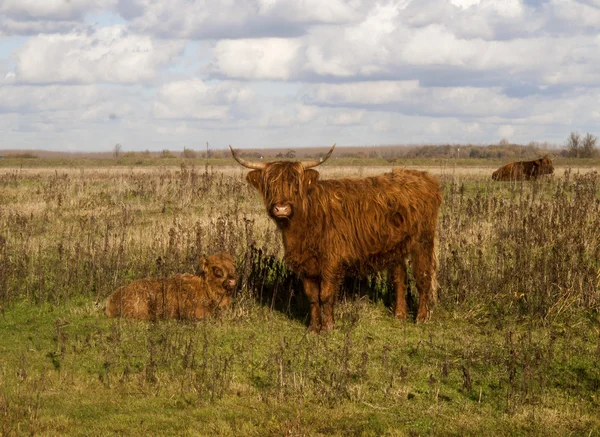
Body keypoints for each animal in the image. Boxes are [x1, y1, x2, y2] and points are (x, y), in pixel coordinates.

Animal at [232, 143, 442, 330]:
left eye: (295, 185)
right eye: (270, 185)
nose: (281, 208)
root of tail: (423, 176)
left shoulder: (331, 261)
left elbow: (325, 294)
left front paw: (328, 326)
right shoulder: (306, 263)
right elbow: (312, 297)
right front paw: (313, 328)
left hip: (423, 240)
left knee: (423, 276)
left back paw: (422, 317)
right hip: (396, 247)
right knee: (399, 278)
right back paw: (399, 315)